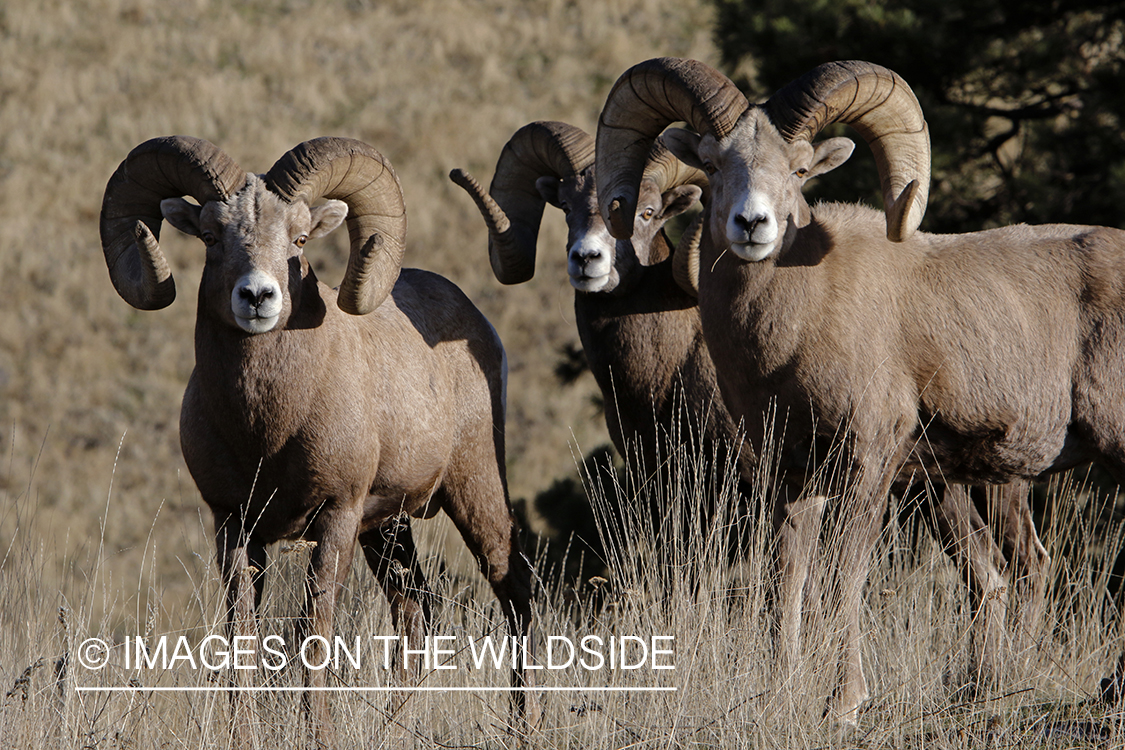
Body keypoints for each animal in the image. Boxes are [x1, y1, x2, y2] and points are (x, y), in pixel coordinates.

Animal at [99, 134, 533, 746]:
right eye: (210, 237)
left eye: (300, 239)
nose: (257, 297)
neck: (267, 430)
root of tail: (478, 327)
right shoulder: (233, 523)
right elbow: (241, 634)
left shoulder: (336, 516)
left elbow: (314, 630)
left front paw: (318, 732)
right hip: (388, 531)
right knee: (416, 611)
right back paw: (393, 728)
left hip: (473, 491)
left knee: (514, 591)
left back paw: (524, 725)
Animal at [589, 57, 1116, 715]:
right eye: (713, 166)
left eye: (799, 169)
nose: (752, 224)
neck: (794, 326)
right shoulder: (788, 474)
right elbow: (787, 580)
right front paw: (784, 689)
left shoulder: (868, 463)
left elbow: (843, 578)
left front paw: (845, 703)